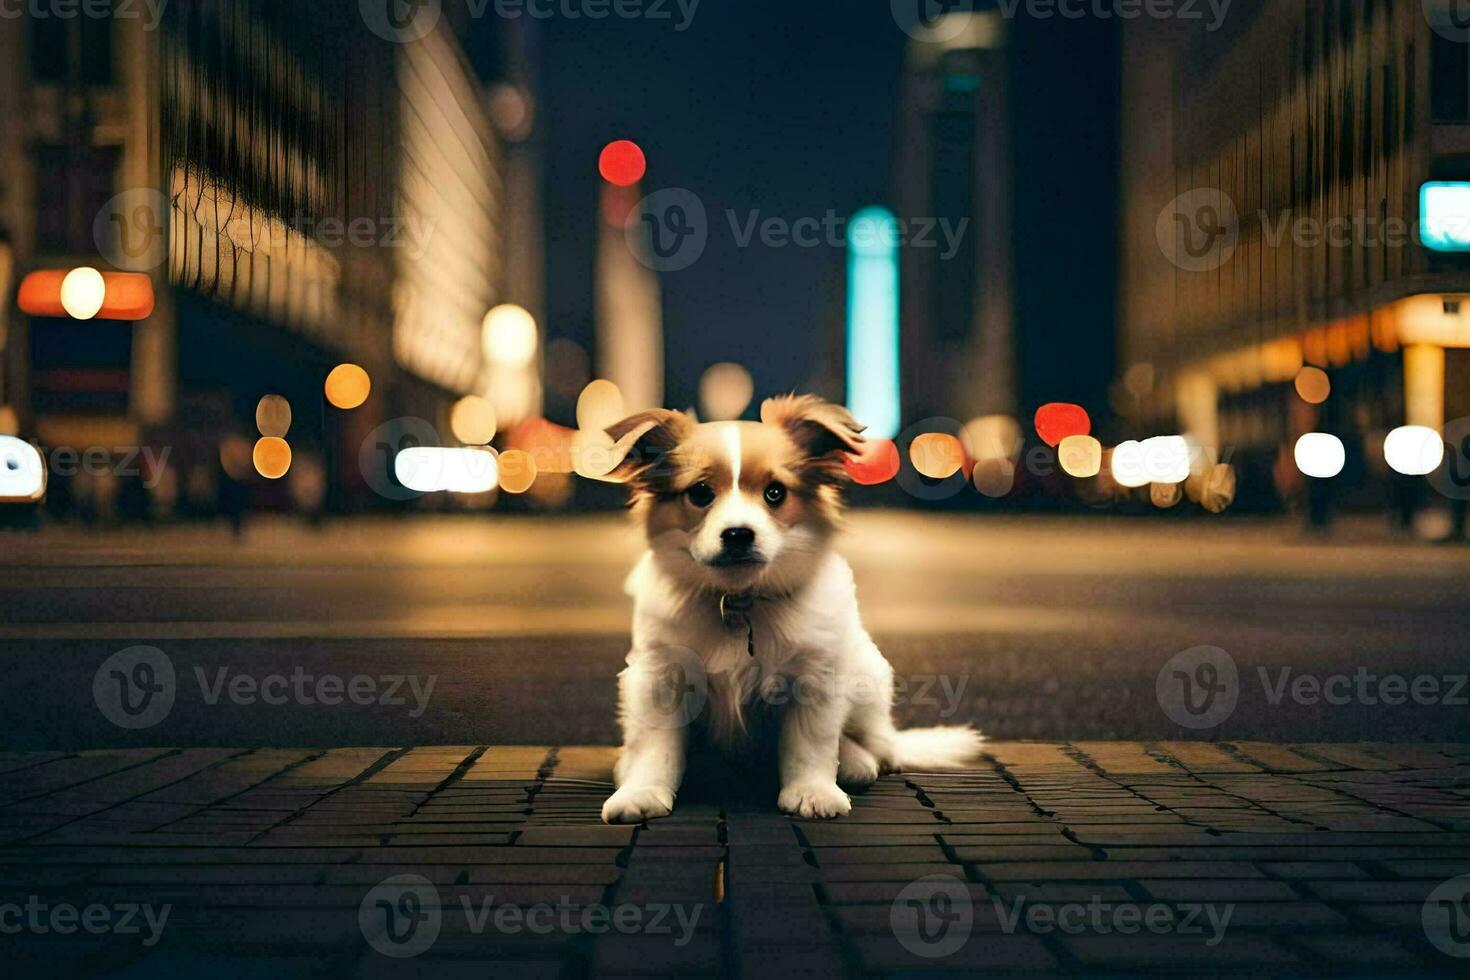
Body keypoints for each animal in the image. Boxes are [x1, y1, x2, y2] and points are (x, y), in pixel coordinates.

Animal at [596, 393, 987, 822]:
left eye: (775, 493)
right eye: (699, 493)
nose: (738, 534)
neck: (740, 602)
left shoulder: (814, 678)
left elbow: (811, 744)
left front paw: (812, 793)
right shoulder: (660, 678)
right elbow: (653, 746)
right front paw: (641, 791)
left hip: (868, 679)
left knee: (881, 747)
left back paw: (856, 761)